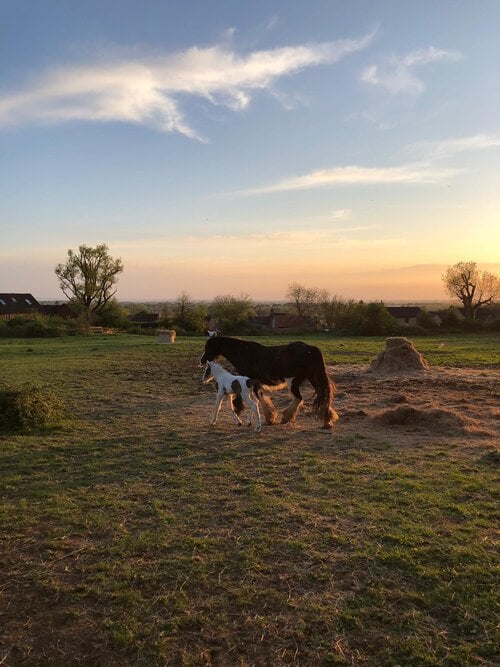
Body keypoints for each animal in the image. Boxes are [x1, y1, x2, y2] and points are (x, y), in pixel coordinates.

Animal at [200, 336, 340, 430]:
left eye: (208, 347)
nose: (202, 361)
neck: (245, 353)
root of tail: (309, 348)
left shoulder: (249, 381)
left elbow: (258, 400)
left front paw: (267, 419)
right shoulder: (253, 383)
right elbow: (260, 399)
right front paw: (266, 418)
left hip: (293, 381)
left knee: (299, 398)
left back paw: (285, 417)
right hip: (311, 377)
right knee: (322, 396)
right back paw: (327, 421)